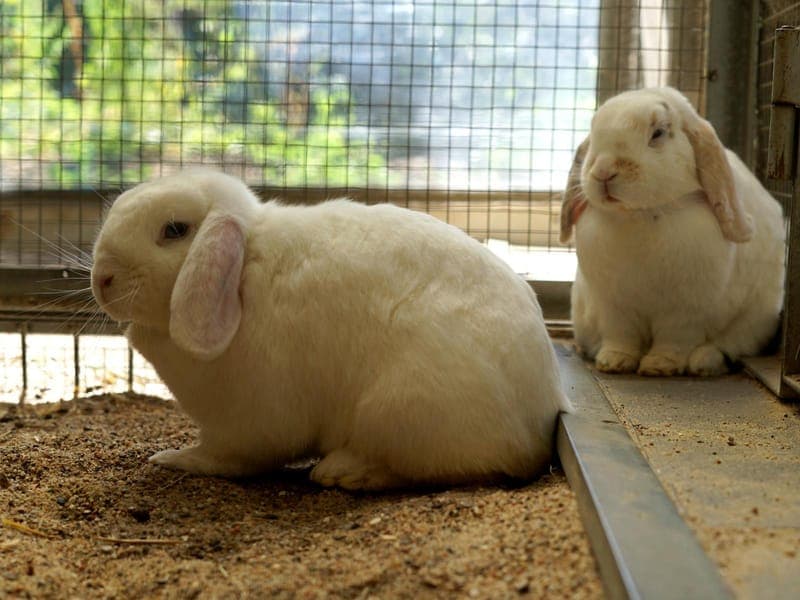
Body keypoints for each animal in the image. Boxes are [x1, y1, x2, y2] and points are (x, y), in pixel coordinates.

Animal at [90, 168, 572, 490]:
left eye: (174, 230)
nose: (101, 279)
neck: (245, 267)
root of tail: (534, 428)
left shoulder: (244, 424)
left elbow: (225, 457)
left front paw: (172, 458)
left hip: (397, 410)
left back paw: (342, 471)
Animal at [560, 87, 785, 377]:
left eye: (658, 133)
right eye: (594, 132)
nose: (603, 171)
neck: (641, 213)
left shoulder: (686, 312)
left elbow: (674, 341)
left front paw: (659, 366)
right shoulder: (614, 308)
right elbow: (621, 337)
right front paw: (613, 362)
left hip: (755, 322)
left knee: (732, 344)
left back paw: (704, 363)